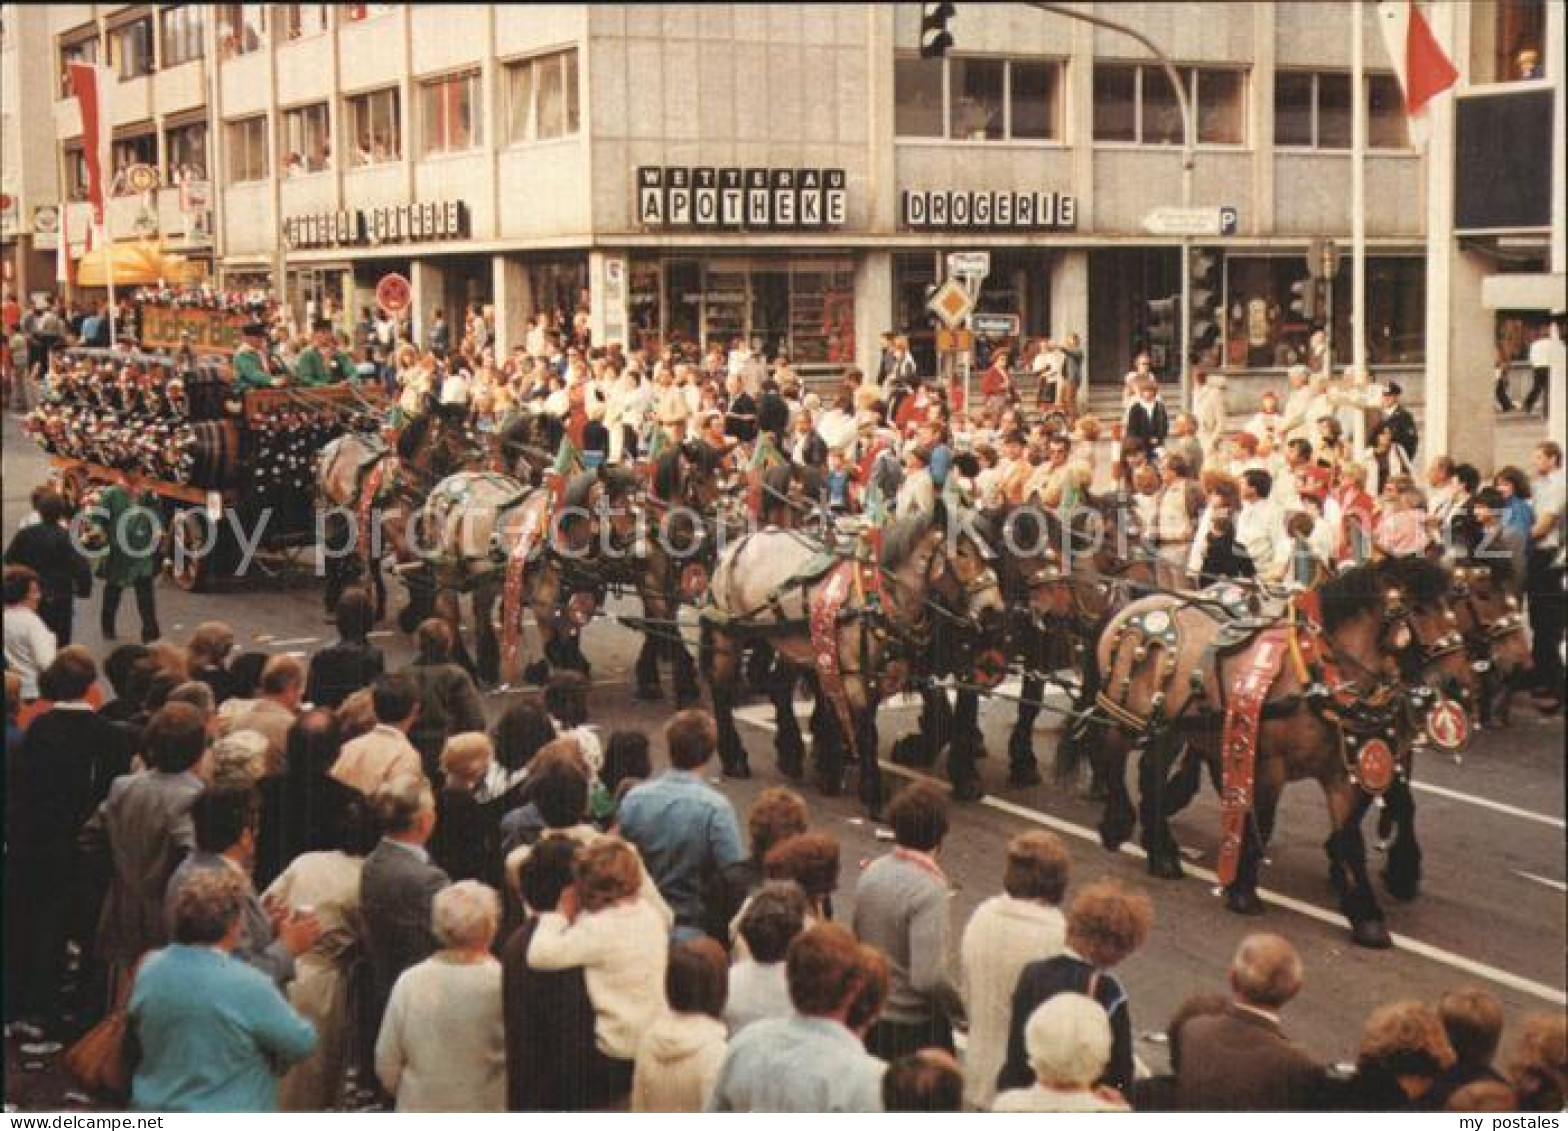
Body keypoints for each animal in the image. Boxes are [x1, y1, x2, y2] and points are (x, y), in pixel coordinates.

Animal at [702, 501, 1003, 809]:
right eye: (962, 553)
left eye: (993, 555)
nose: (993, 610)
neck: (877, 596)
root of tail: (737, 544)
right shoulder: (855, 676)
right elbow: (867, 731)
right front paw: (871, 790)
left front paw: (833, 769)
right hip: (729, 636)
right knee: (721, 690)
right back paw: (734, 757)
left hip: (781, 638)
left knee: (776, 685)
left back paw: (790, 754)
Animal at [1059, 561, 1473, 947]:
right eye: (1418, 609)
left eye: (1452, 603)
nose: (1458, 683)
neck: (1318, 674)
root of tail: (1132, 604)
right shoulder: (1271, 763)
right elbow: (1266, 821)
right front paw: (1243, 890)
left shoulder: (1347, 771)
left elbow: (1351, 839)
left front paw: (1366, 915)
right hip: (1126, 711)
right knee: (1111, 758)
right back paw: (1117, 826)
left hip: (1171, 726)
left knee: (1149, 771)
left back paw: (1161, 852)